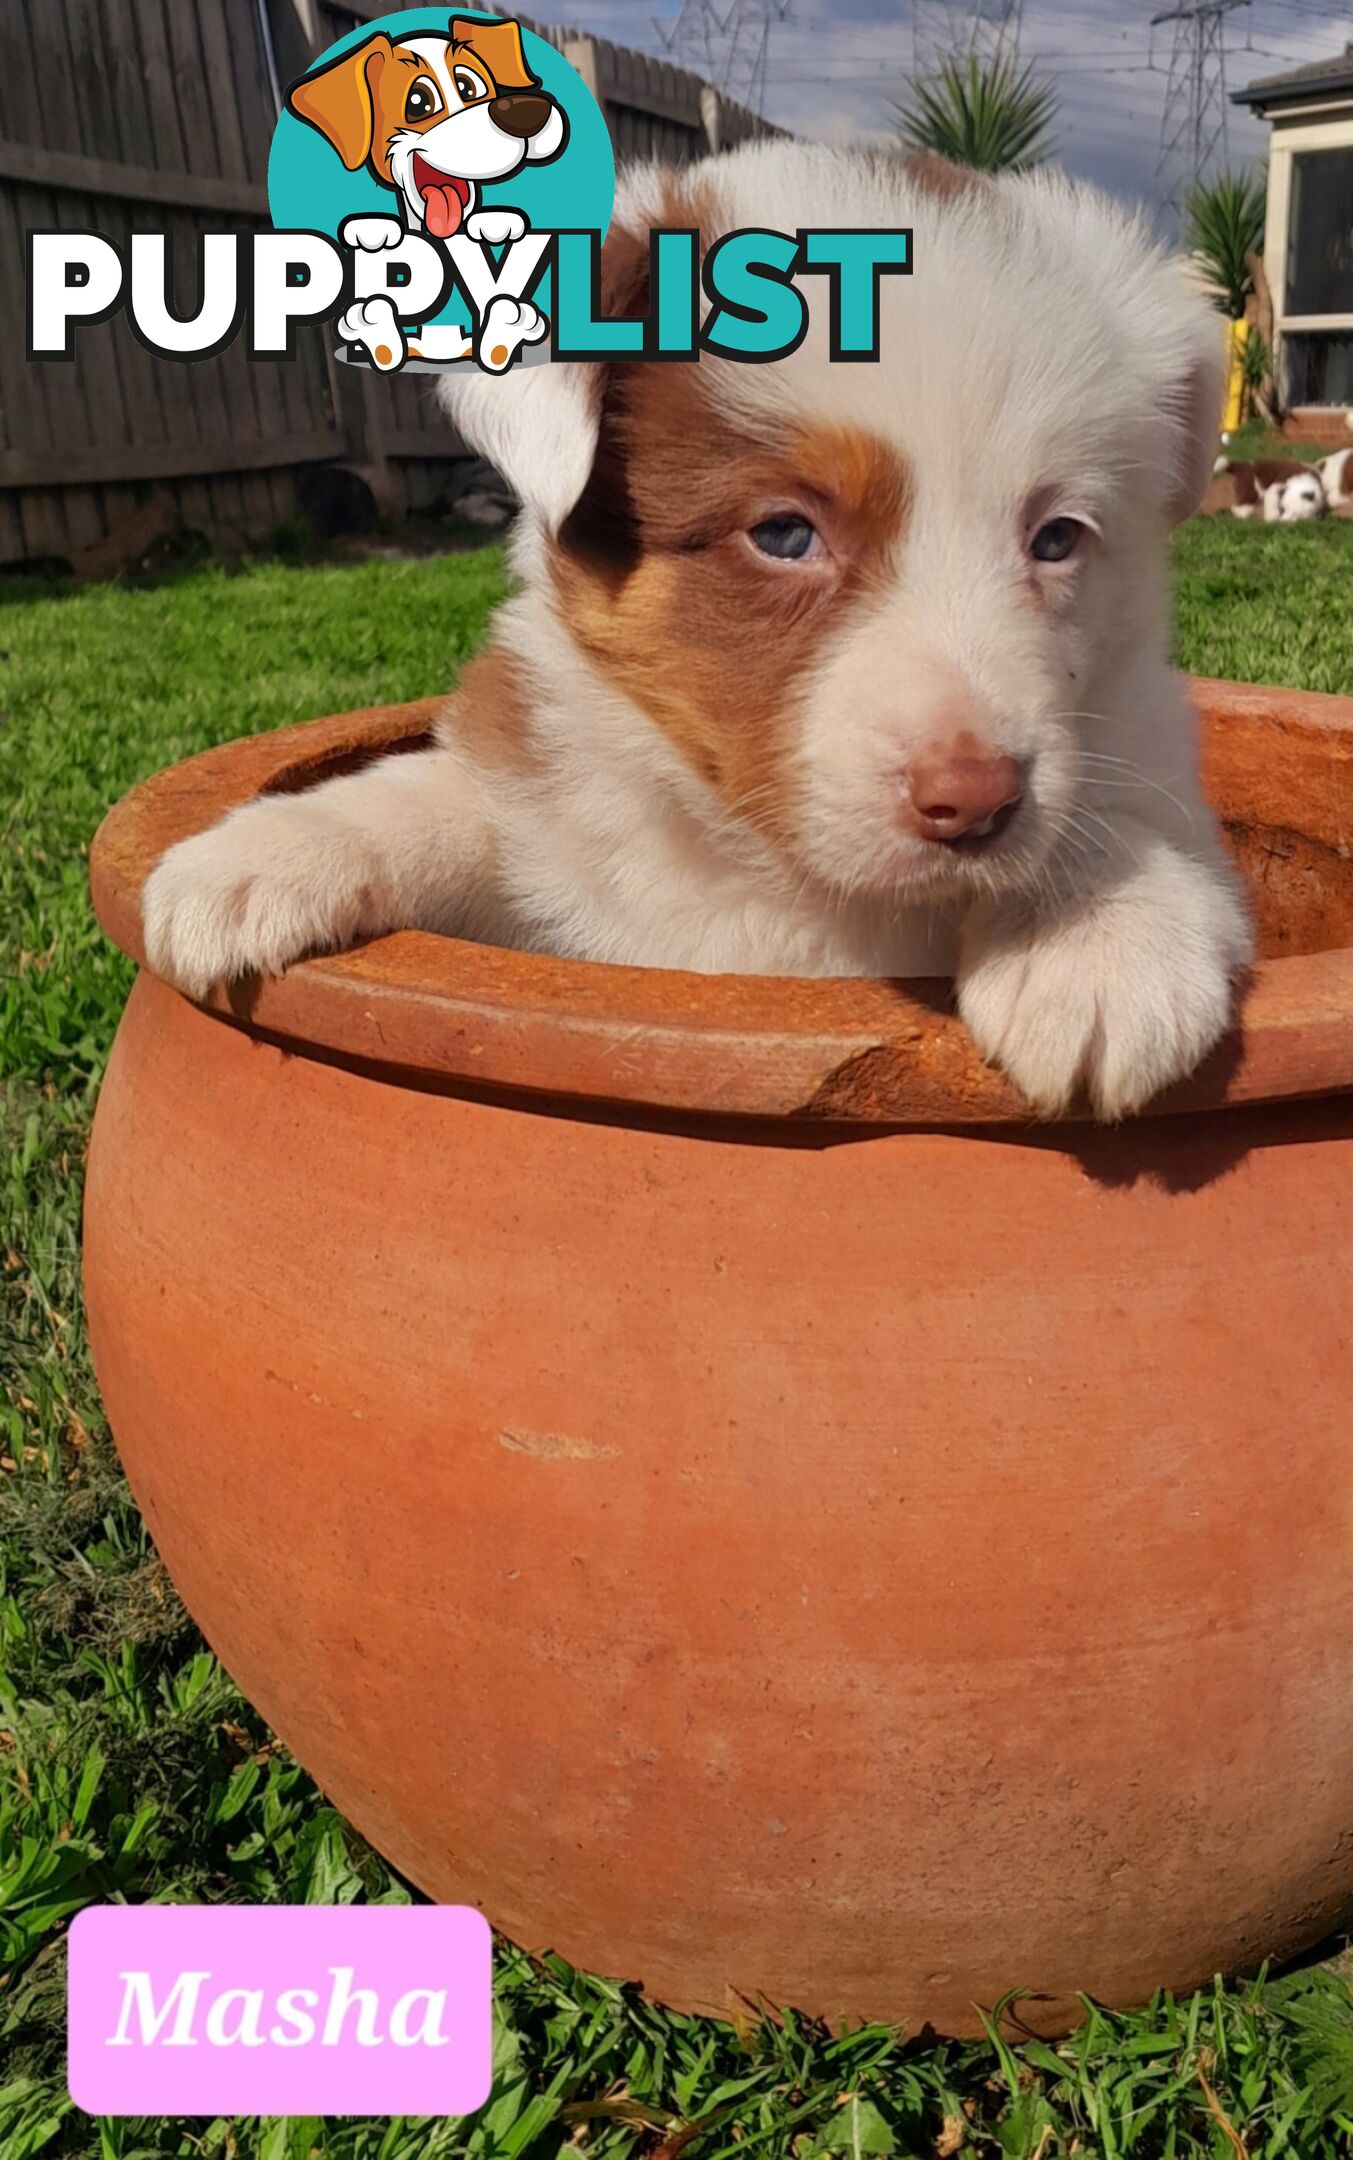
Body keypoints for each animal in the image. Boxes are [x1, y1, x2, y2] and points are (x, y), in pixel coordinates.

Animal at [142, 143, 1244, 1123]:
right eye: (784, 533)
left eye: (1057, 538)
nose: (975, 801)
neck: (770, 869)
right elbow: (450, 799)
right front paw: (262, 855)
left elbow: (1116, 805)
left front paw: (1093, 941)